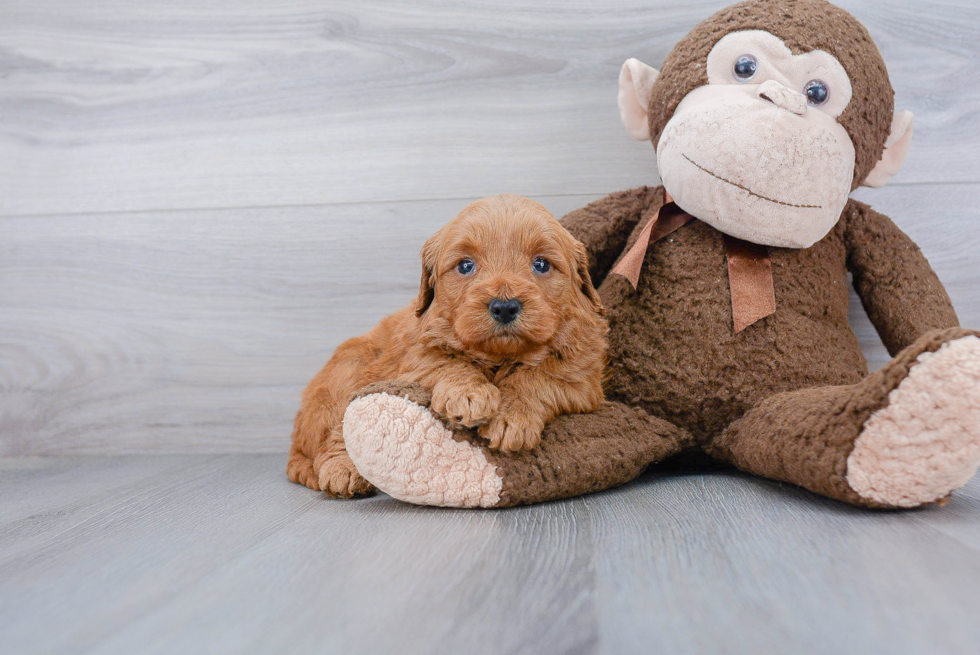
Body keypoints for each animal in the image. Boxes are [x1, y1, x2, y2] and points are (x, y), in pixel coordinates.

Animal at [286, 193, 604, 498]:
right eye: (465, 265)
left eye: (541, 264)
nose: (504, 307)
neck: (499, 357)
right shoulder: (415, 353)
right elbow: (445, 361)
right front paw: (468, 394)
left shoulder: (582, 378)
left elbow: (539, 376)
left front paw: (512, 415)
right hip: (346, 375)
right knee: (336, 433)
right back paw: (344, 470)